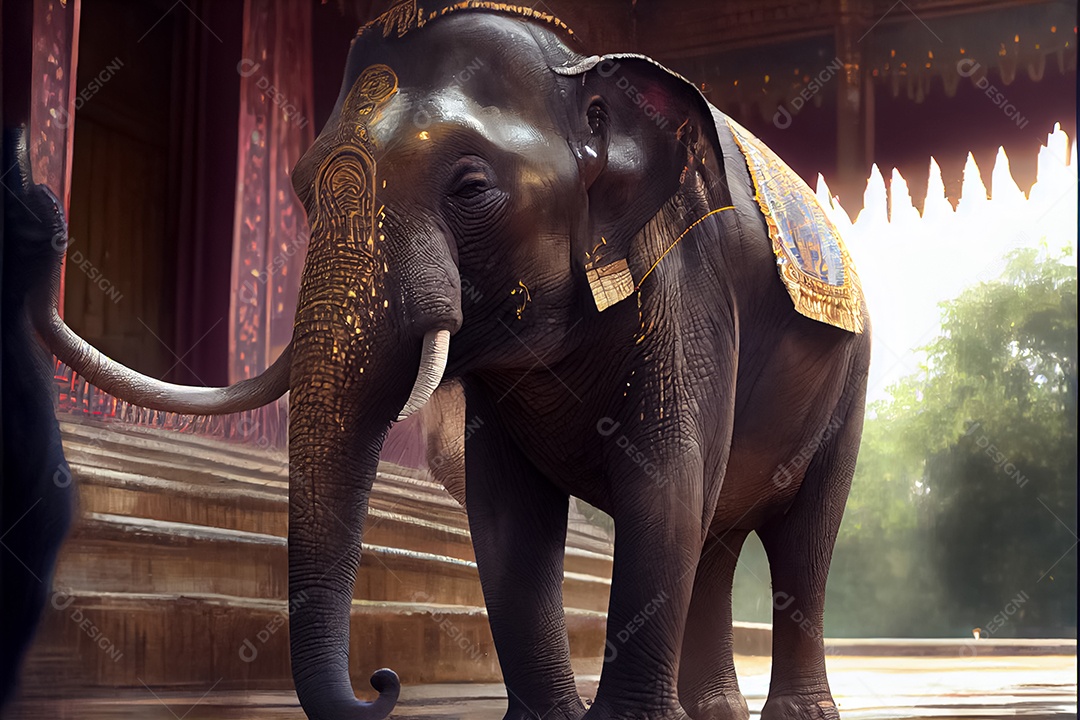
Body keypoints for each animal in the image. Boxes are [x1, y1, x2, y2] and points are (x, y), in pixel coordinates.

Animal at [2, 3, 871, 720]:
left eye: (471, 188)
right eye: (301, 191)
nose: (381, 684)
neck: (580, 68)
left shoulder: (685, 284)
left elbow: (664, 479)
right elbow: (506, 510)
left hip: (852, 378)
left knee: (799, 538)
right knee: (718, 536)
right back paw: (715, 713)